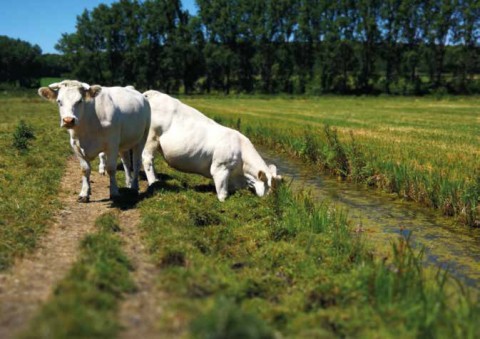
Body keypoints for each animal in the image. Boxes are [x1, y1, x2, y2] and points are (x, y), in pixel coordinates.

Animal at [139, 90, 282, 202]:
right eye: (268, 186)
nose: (271, 200)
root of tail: (152, 94)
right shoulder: (220, 168)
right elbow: (222, 192)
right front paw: (223, 200)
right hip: (151, 138)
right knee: (147, 159)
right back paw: (154, 181)